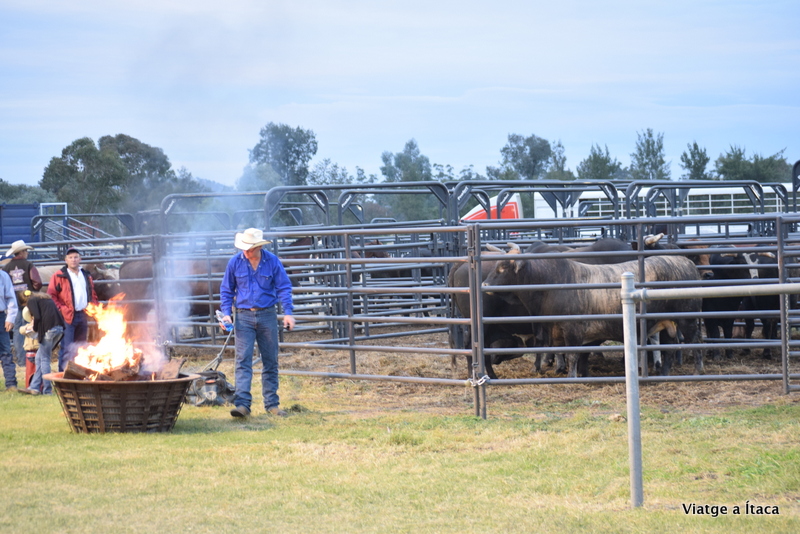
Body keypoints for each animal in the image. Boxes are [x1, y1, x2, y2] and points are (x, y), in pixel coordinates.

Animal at [483, 245, 702, 378]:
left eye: (503, 267)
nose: (484, 284)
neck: (550, 282)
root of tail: (686, 263)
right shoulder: (551, 328)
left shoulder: (573, 329)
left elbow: (573, 354)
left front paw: (572, 376)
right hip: (665, 322)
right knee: (670, 347)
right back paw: (664, 372)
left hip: (688, 319)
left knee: (695, 342)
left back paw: (698, 371)